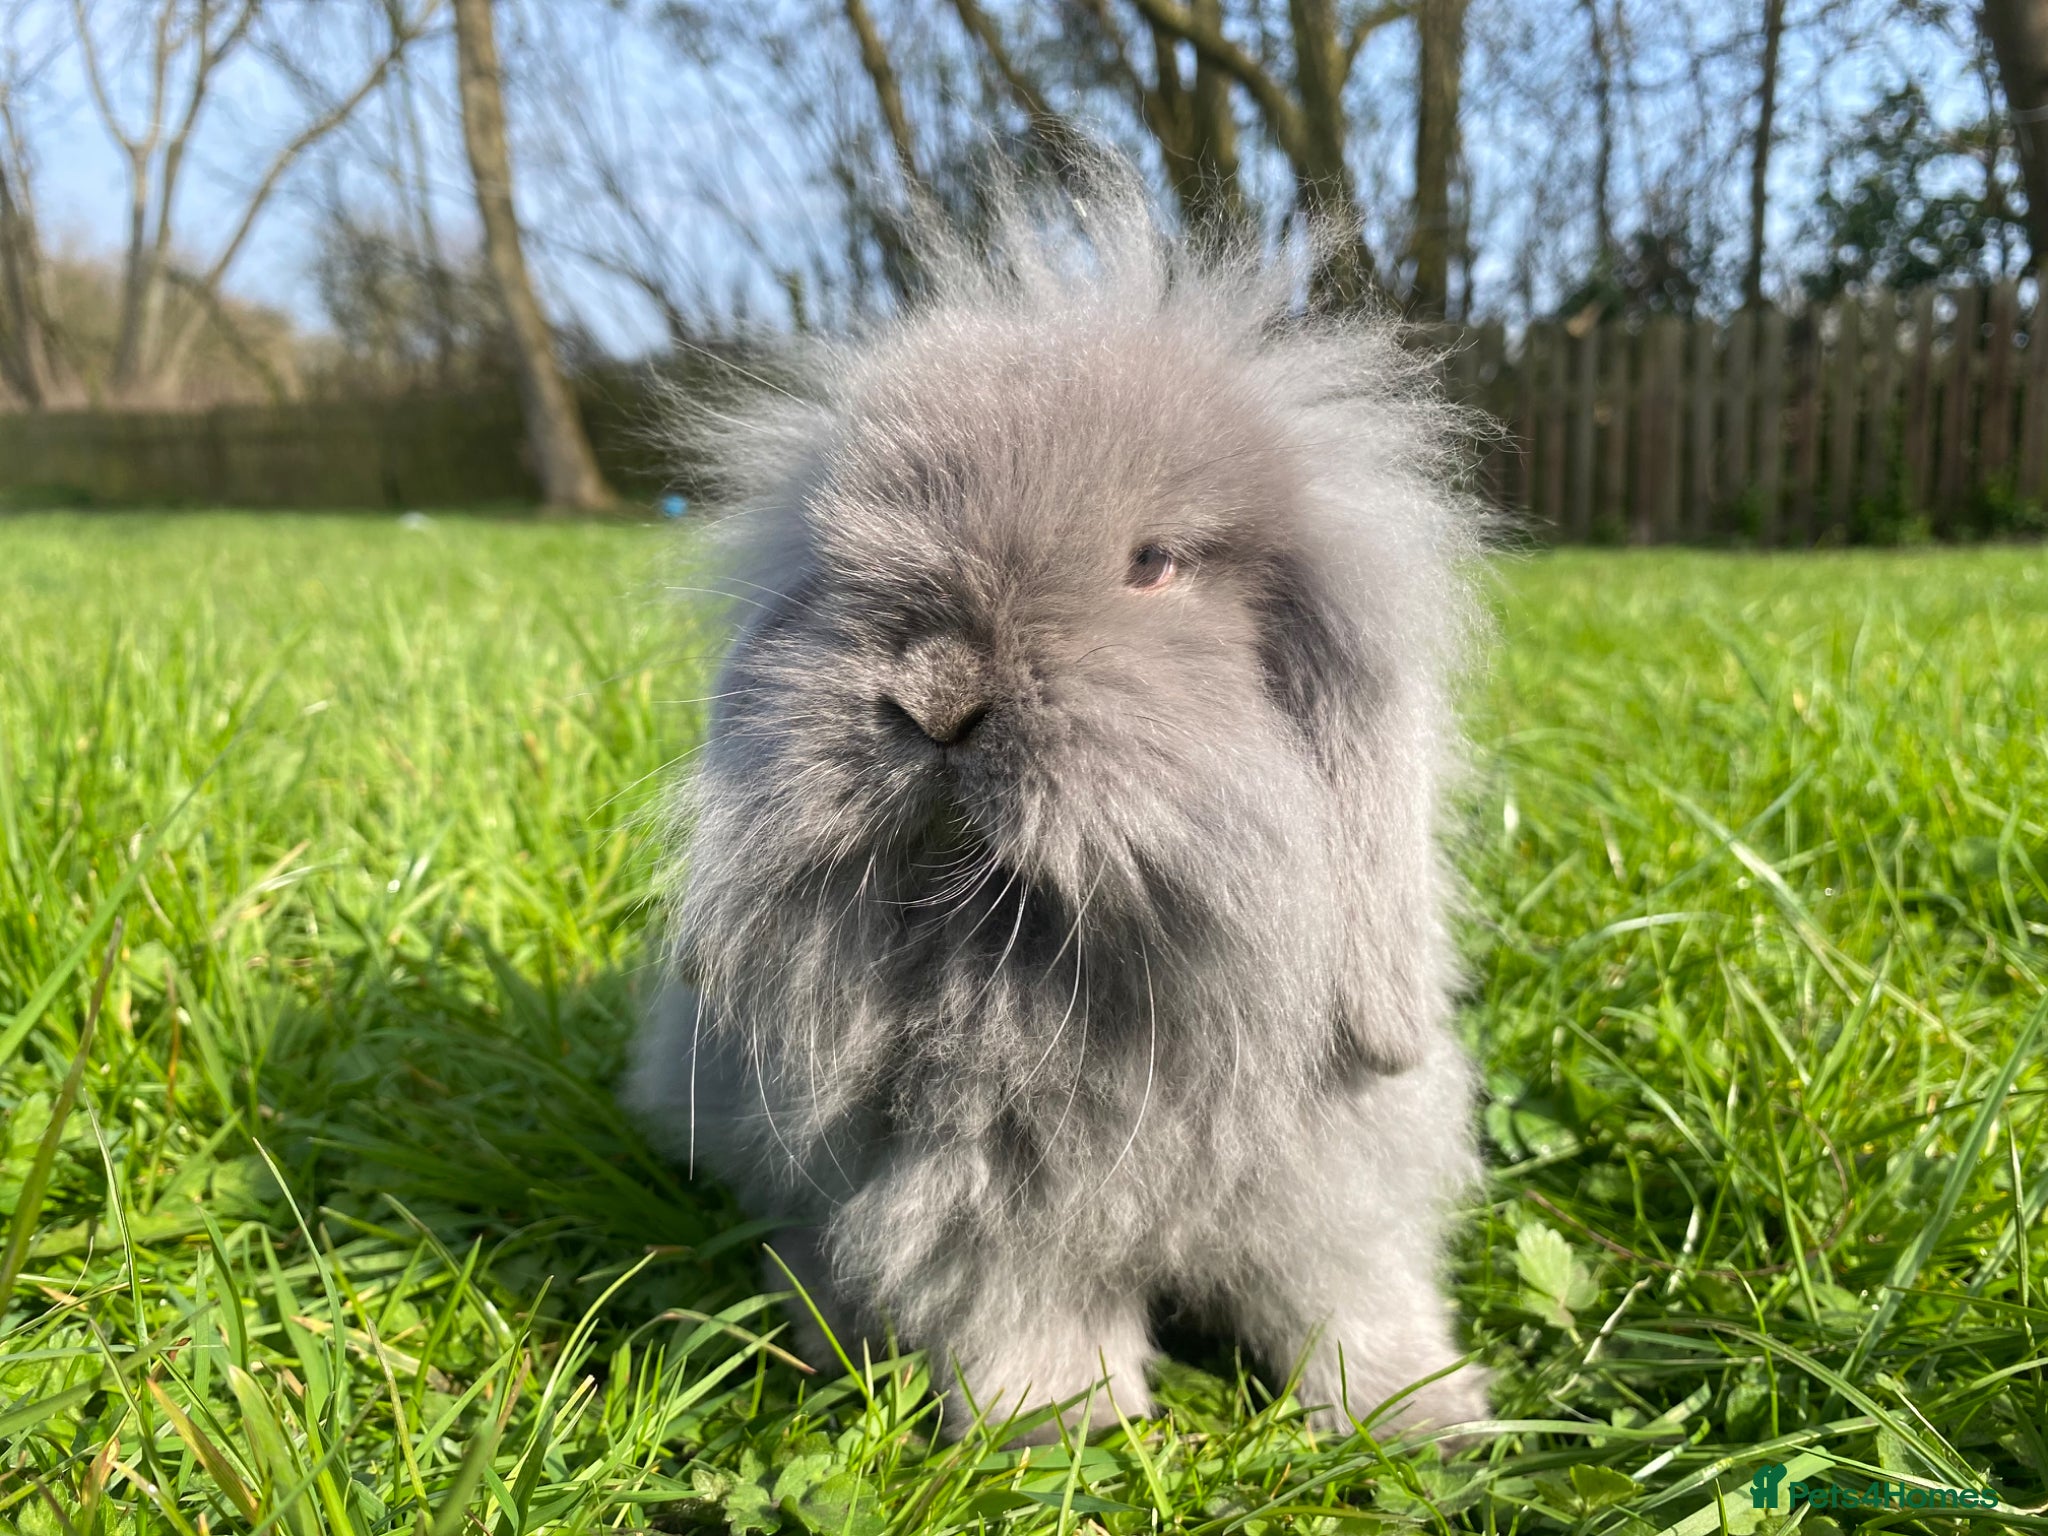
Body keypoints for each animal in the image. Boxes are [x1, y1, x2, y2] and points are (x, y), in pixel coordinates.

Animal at [627, 161, 1489, 1445]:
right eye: (837, 566)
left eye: (1154, 565)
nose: (935, 700)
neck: (1045, 958)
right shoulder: (975, 1211)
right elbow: (1026, 1320)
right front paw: (1064, 1432)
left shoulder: (1332, 1191)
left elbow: (1351, 1296)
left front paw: (1423, 1417)